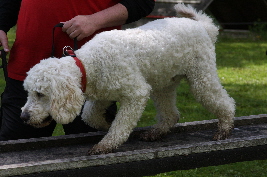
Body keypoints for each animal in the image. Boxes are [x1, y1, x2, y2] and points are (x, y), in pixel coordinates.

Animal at [21, 3, 237, 155]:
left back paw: (225, 128)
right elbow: (89, 116)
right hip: (163, 84)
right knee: (171, 114)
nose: (23, 117)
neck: (90, 64)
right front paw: (105, 124)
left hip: (201, 78)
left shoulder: (136, 94)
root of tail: (201, 25)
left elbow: (121, 124)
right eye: (28, 93)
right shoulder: (103, 95)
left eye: (40, 94)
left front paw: (106, 144)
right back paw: (157, 132)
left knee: (225, 102)